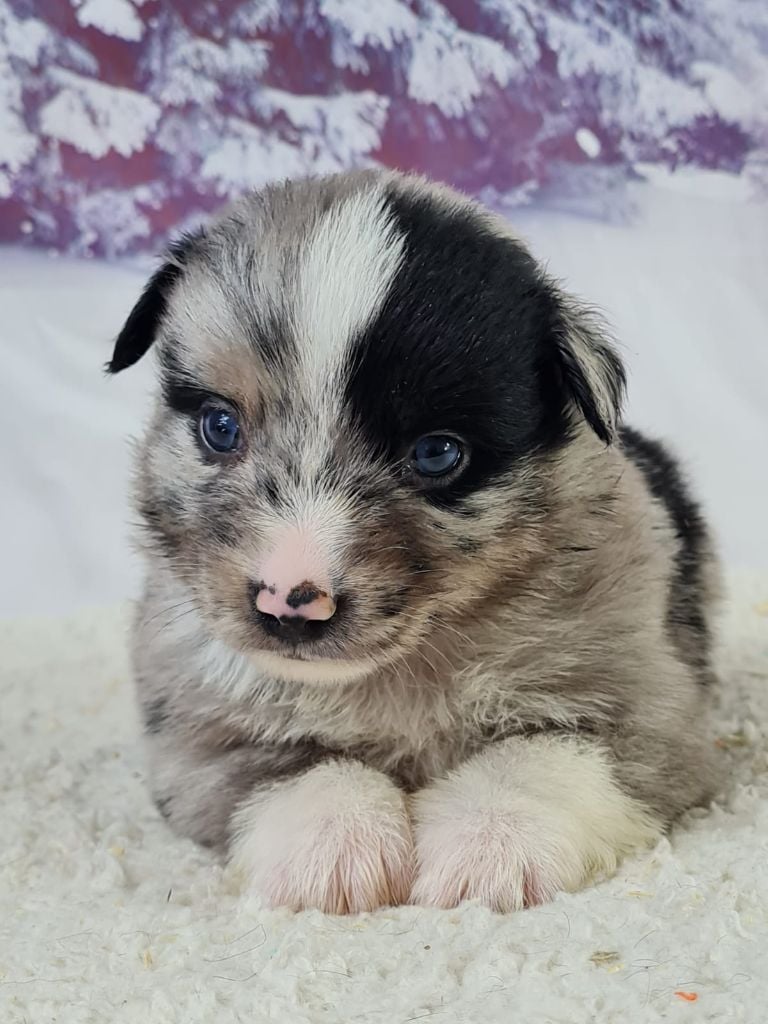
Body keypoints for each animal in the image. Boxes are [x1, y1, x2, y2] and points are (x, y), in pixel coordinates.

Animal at [109, 170, 720, 913]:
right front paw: (334, 845)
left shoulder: (646, 704)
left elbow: (544, 754)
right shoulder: (196, 729)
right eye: (220, 426)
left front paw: (490, 845)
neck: (402, 669)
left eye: (436, 454)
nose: (289, 602)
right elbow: (292, 767)